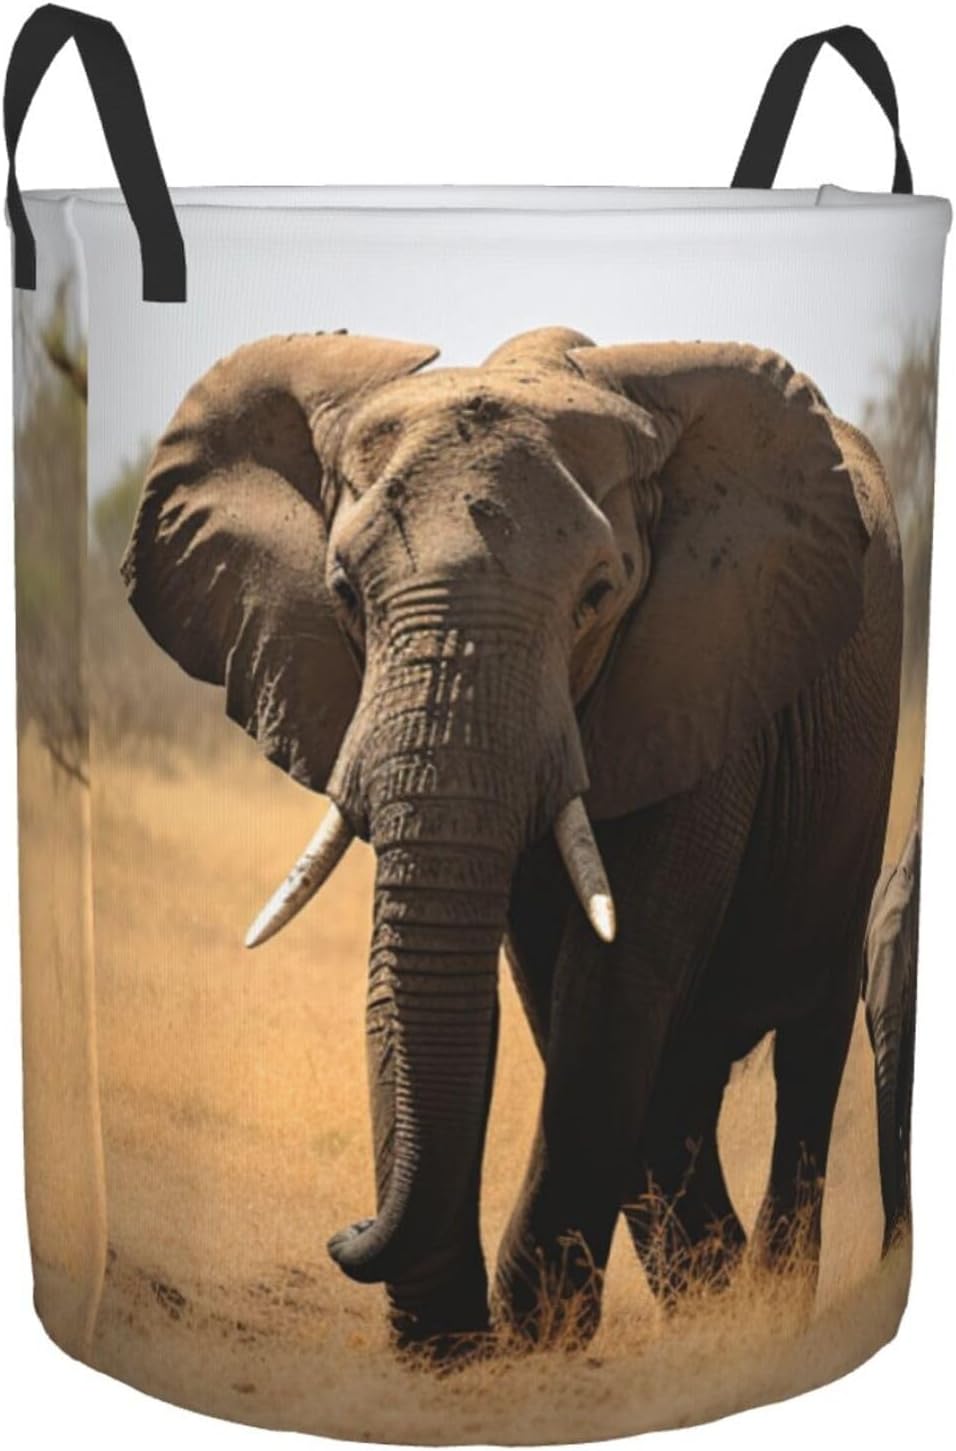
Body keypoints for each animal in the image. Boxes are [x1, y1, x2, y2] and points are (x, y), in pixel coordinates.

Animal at [122, 325, 903, 1353]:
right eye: (344, 591)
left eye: (599, 594)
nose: (346, 1231)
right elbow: (489, 977)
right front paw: (475, 1346)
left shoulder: (701, 679)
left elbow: (615, 979)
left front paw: (535, 1344)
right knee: (678, 1076)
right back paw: (713, 1294)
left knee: (804, 1042)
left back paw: (765, 1314)